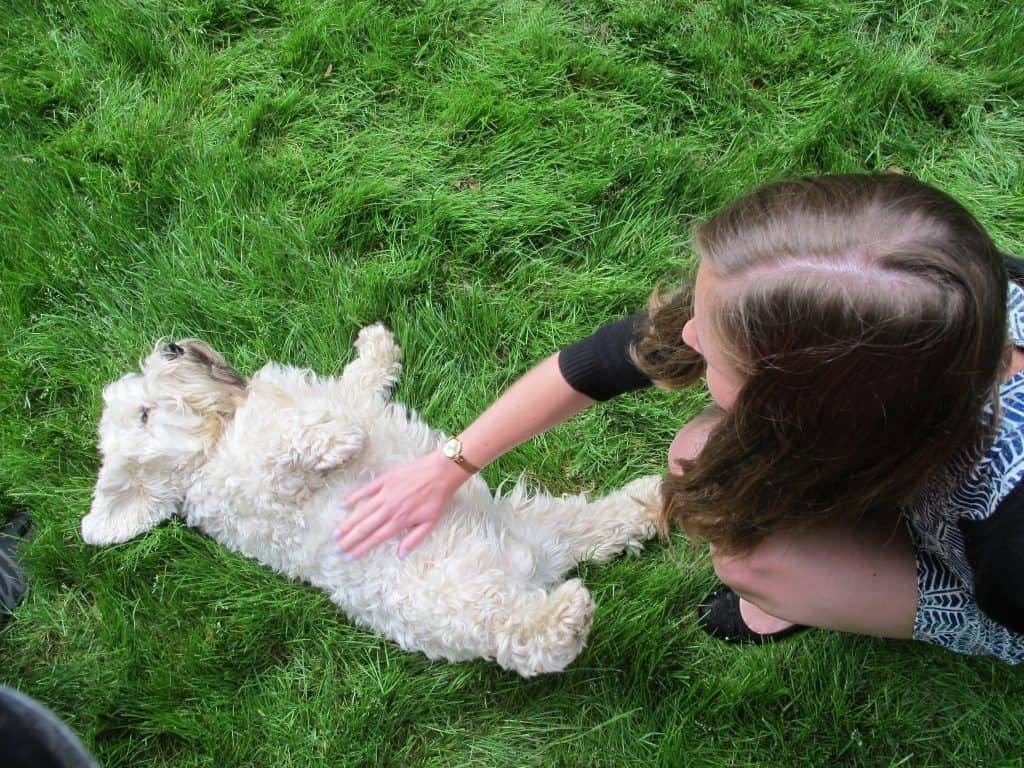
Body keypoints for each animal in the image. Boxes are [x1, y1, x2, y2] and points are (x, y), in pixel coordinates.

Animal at [77, 327, 655, 675]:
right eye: (144, 414)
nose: (169, 347)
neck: (220, 431)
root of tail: (531, 569)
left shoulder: (339, 395)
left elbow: (359, 380)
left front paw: (376, 346)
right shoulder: (257, 494)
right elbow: (282, 455)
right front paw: (337, 437)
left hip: (547, 524)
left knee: (601, 525)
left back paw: (650, 501)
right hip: (462, 606)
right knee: (526, 641)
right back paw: (568, 615)